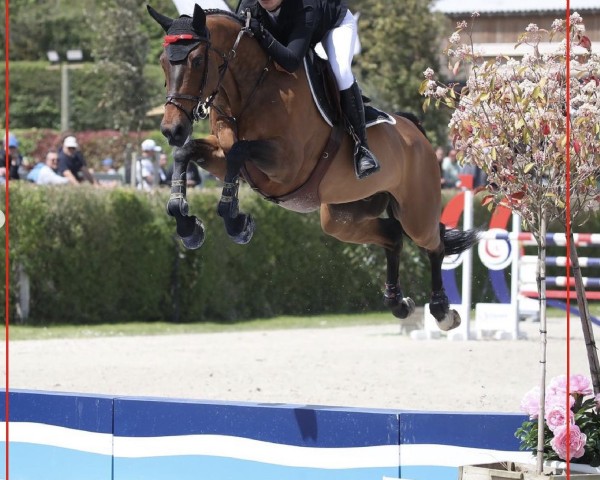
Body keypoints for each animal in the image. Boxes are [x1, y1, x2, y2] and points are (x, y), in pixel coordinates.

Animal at [146, 3, 478, 330]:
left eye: (198, 60)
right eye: (163, 62)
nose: (171, 130)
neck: (250, 90)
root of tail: (416, 132)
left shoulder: (287, 163)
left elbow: (239, 152)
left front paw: (237, 222)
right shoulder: (222, 152)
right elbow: (187, 153)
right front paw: (187, 225)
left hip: (416, 211)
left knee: (433, 245)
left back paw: (442, 311)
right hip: (341, 216)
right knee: (393, 236)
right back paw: (398, 303)